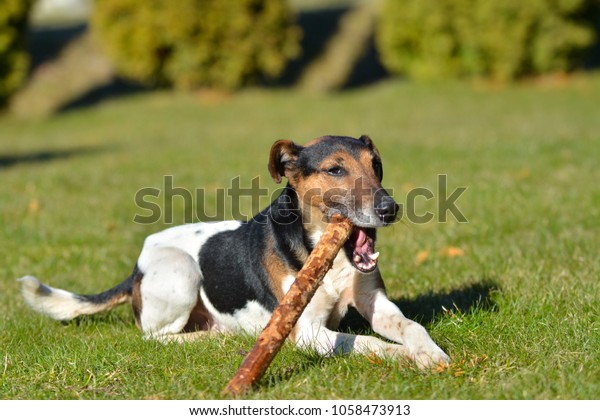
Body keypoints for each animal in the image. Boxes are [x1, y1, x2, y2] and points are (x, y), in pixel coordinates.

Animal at [18, 135, 450, 368]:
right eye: (335, 170)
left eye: (376, 165)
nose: (389, 209)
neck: (327, 253)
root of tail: (137, 266)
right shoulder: (306, 331)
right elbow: (363, 342)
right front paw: (405, 357)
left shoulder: (376, 302)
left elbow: (410, 326)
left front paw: (430, 353)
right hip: (181, 272)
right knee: (155, 337)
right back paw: (210, 337)